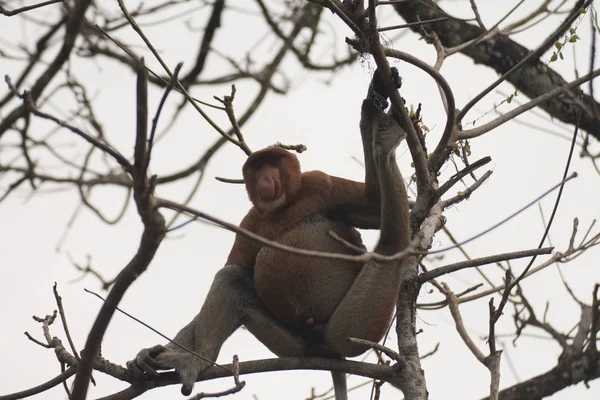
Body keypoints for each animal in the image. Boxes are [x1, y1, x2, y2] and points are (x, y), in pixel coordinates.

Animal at [126, 67, 408, 398]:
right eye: (257, 166)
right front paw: (146, 354)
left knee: (392, 247)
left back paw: (386, 142)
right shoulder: (248, 226)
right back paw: (194, 359)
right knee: (231, 278)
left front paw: (374, 101)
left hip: (353, 329)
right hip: (292, 344)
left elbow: (374, 204)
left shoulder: (320, 184)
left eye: (274, 162)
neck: (281, 208)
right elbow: (236, 267)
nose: (265, 179)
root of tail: (324, 348)